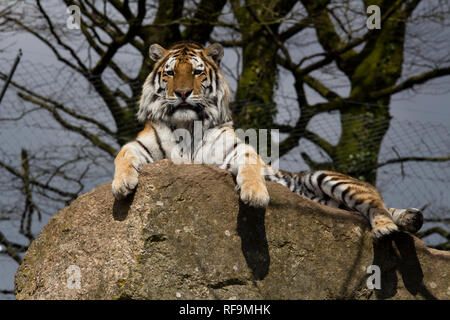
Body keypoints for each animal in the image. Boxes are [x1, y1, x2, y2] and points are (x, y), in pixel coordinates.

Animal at [111, 41, 422, 239]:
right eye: (171, 73)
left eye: (197, 72)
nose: (183, 93)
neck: (187, 124)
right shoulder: (142, 145)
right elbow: (123, 154)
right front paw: (122, 185)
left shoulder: (234, 149)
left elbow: (250, 165)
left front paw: (255, 194)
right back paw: (409, 219)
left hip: (326, 178)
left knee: (375, 203)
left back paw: (388, 227)